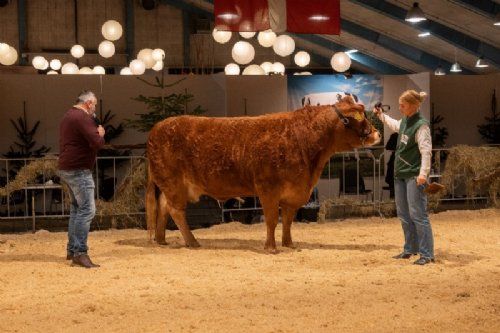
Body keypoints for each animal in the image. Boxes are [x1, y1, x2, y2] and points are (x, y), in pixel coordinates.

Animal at [146, 94, 380, 250]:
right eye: (360, 117)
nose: (376, 134)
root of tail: (158, 126)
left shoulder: (294, 193)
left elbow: (287, 220)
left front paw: (289, 244)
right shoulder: (268, 189)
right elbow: (271, 219)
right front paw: (271, 247)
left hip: (172, 186)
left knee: (164, 208)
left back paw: (162, 240)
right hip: (174, 183)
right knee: (175, 211)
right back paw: (192, 241)